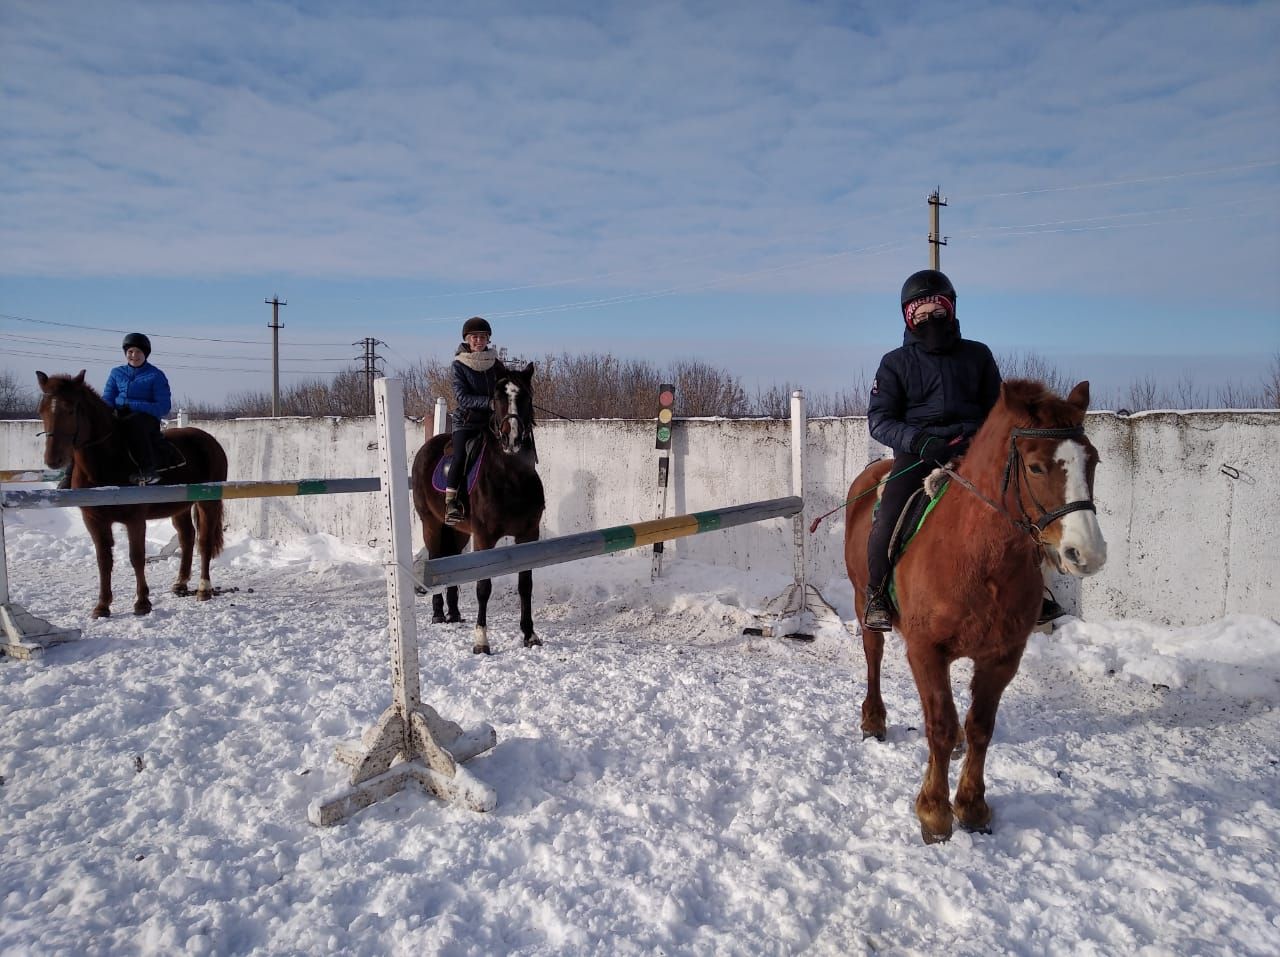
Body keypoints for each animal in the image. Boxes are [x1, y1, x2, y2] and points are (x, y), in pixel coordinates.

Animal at [35, 371, 230, 616]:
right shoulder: (94, 520)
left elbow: (137, 557)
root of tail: (209, 440)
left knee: (203, 541)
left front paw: (142, 602)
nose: (53, 459)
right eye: (41, 410)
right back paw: (181, 583)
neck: (107, 461)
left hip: (208, 502)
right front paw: (102, 605)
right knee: (187, 537)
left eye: (70, 409)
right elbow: (103, 560)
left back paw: (204, 588)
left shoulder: (135, 519)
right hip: (180, 506)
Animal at [412, 363, 547, 655]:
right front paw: (481, 641)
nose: (512, 438)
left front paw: (529, 634)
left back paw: (453, 612)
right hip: (432, 524)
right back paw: (438, 614)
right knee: (437, 558)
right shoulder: (484, 537)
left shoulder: (528, 535)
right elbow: (483, 586)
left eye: (526, 397)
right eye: (496, 397)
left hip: (460, 531)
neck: (511, 476)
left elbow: (525, 584)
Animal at [844, 378, 1105, 839]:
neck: (979, 555)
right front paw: (934, 811)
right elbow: (941, 726)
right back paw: (873, 720)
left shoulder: (1003, 656)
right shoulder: (926, 651)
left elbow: (980, 727)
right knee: (873, 656)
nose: (1086, 554)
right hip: (863, 601)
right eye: (1036, 467)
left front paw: (972, 806)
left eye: (1092, 461)